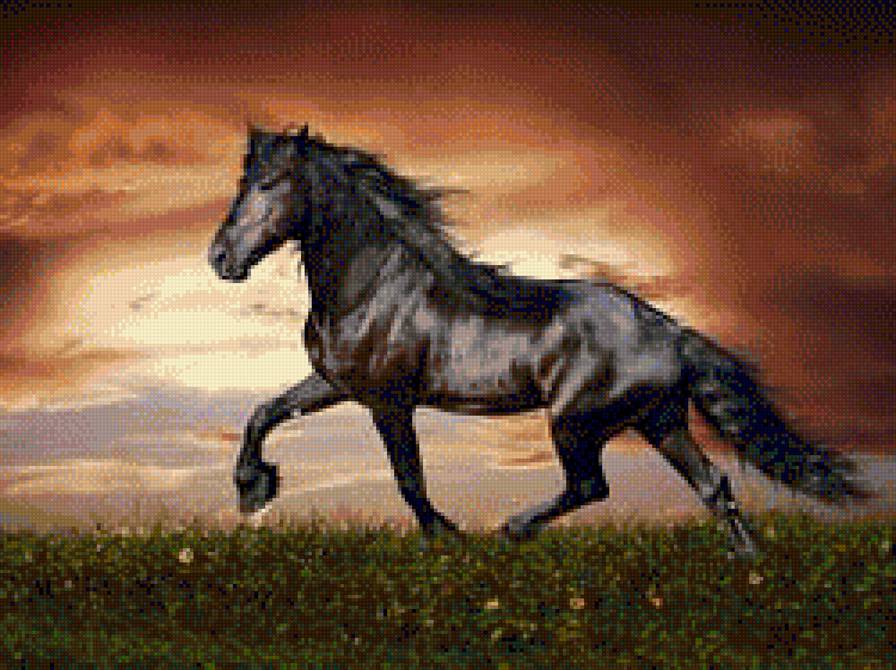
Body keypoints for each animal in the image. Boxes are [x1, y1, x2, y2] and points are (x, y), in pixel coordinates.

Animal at [208, 124, 868, 558]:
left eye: (270, 183)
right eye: (243, 180)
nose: (219, 258)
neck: (373, 285)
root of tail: (670, 332)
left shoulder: (388, 400)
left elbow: (408, 478)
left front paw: (447, 537)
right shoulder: (335, 383)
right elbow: (263, 413)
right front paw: (253, 491)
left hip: (576, 420)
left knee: (591, 486)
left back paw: (512, 529)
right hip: (659, 420)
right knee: (713, 486)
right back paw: (748, 566)